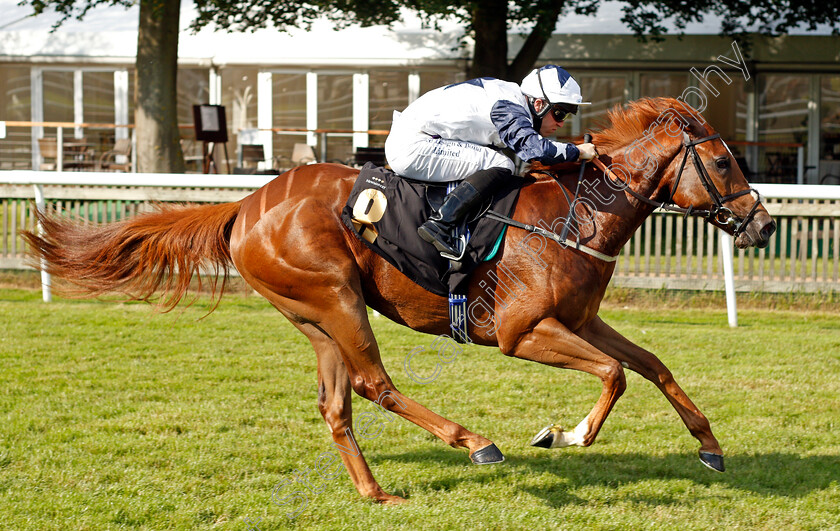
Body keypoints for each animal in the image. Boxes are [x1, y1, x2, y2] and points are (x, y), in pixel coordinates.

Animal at [24, 98, 776, 502]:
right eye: (725, 161)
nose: (763, 225)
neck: (575, 212)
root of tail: (245, 205)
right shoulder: (521, 331)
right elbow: (616, 373)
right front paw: (565, 433)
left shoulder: (580, 317)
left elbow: (652, 365)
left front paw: (710, 447)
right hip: (334, 298)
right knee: (374, 383)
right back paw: (475, 442)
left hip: (316, 316)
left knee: (337, 402)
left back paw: (374, 490)